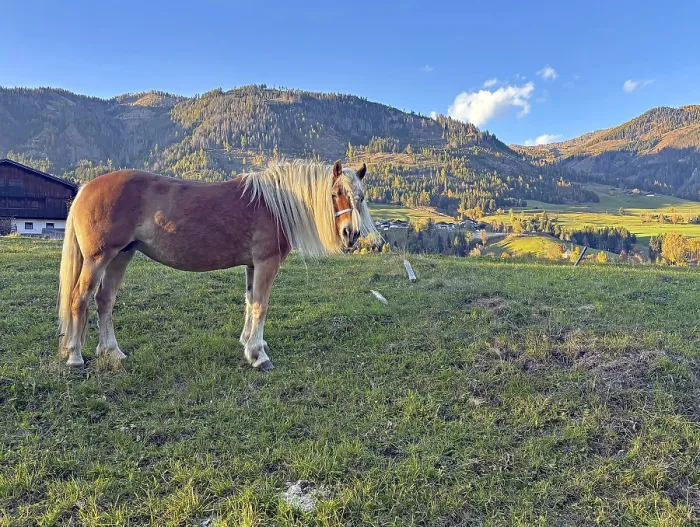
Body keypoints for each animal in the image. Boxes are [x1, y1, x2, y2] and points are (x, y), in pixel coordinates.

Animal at [57, 159, 378, 371]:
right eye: (336, 193)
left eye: (361, 197)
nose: (351, 234)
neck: (273, 204)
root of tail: (86, 188)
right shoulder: (266, 263)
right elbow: (261, 305)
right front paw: (258, 356)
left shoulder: (253, 265)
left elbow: (250, 302)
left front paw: (249, 343)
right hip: (99, 258)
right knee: (79, 299)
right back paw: (74, 356)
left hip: (121, 255)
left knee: (104, 301)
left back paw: (112, 352)